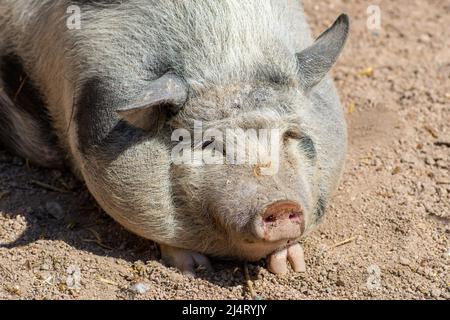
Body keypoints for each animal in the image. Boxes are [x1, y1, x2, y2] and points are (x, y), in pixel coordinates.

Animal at [0, 0, 350, 276]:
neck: (226, 52)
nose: (279, 203)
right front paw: (194, 270)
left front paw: (292, 267)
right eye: (209, 144)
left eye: (291, 134)